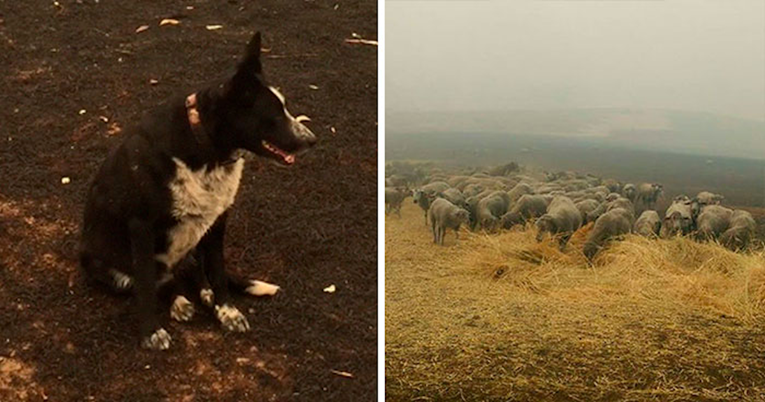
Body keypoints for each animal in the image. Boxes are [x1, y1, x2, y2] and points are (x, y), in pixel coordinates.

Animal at [78, 32, 316, 348]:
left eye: (285, 108)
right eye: (275, 115)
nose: (312, 140)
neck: (205, 147)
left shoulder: (218, 221)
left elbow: (218, 271)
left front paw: (227, 311)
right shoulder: (141, 226)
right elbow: (145, 286)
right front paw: (150, 331)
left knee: (193, 274)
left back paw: (205, 295)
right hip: (106, 266)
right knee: (156, 283)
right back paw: (179, 301)